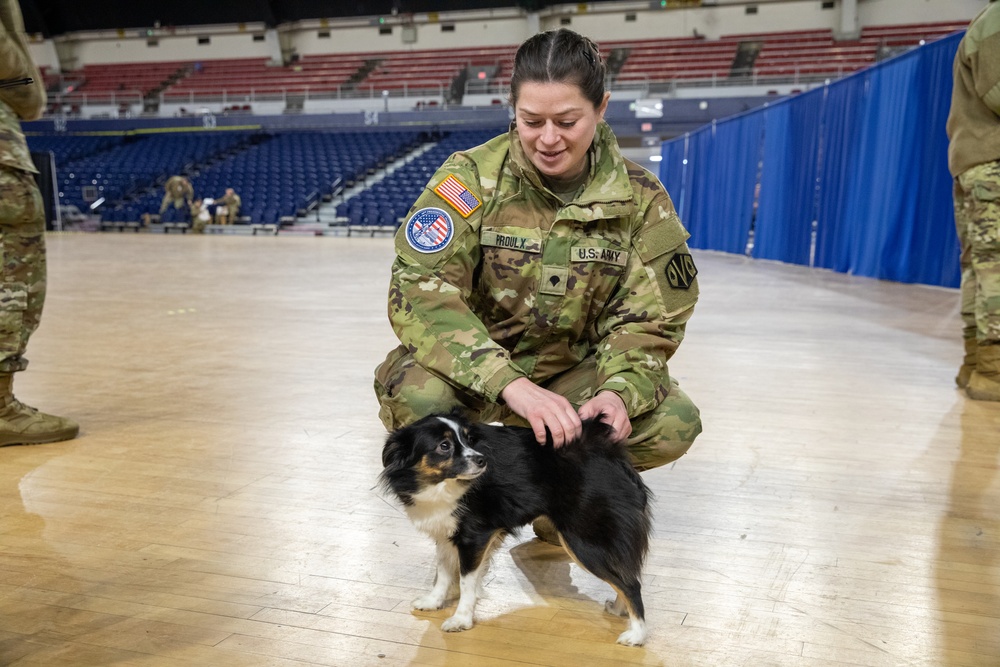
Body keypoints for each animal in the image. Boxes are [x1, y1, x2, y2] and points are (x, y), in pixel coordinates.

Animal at [378, 412, 652, 648]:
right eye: (444, 446)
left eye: (469, 440)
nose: (482, 460)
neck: (441, 484)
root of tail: (612, 455)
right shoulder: (446, 533)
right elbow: (444, 572)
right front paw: (434, 602)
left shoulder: (475, 537)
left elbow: (466, 581)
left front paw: (461, 619)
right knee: (624, 574)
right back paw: (619, 610)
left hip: (583, 540)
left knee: (630, 583)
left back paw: (637, 634)